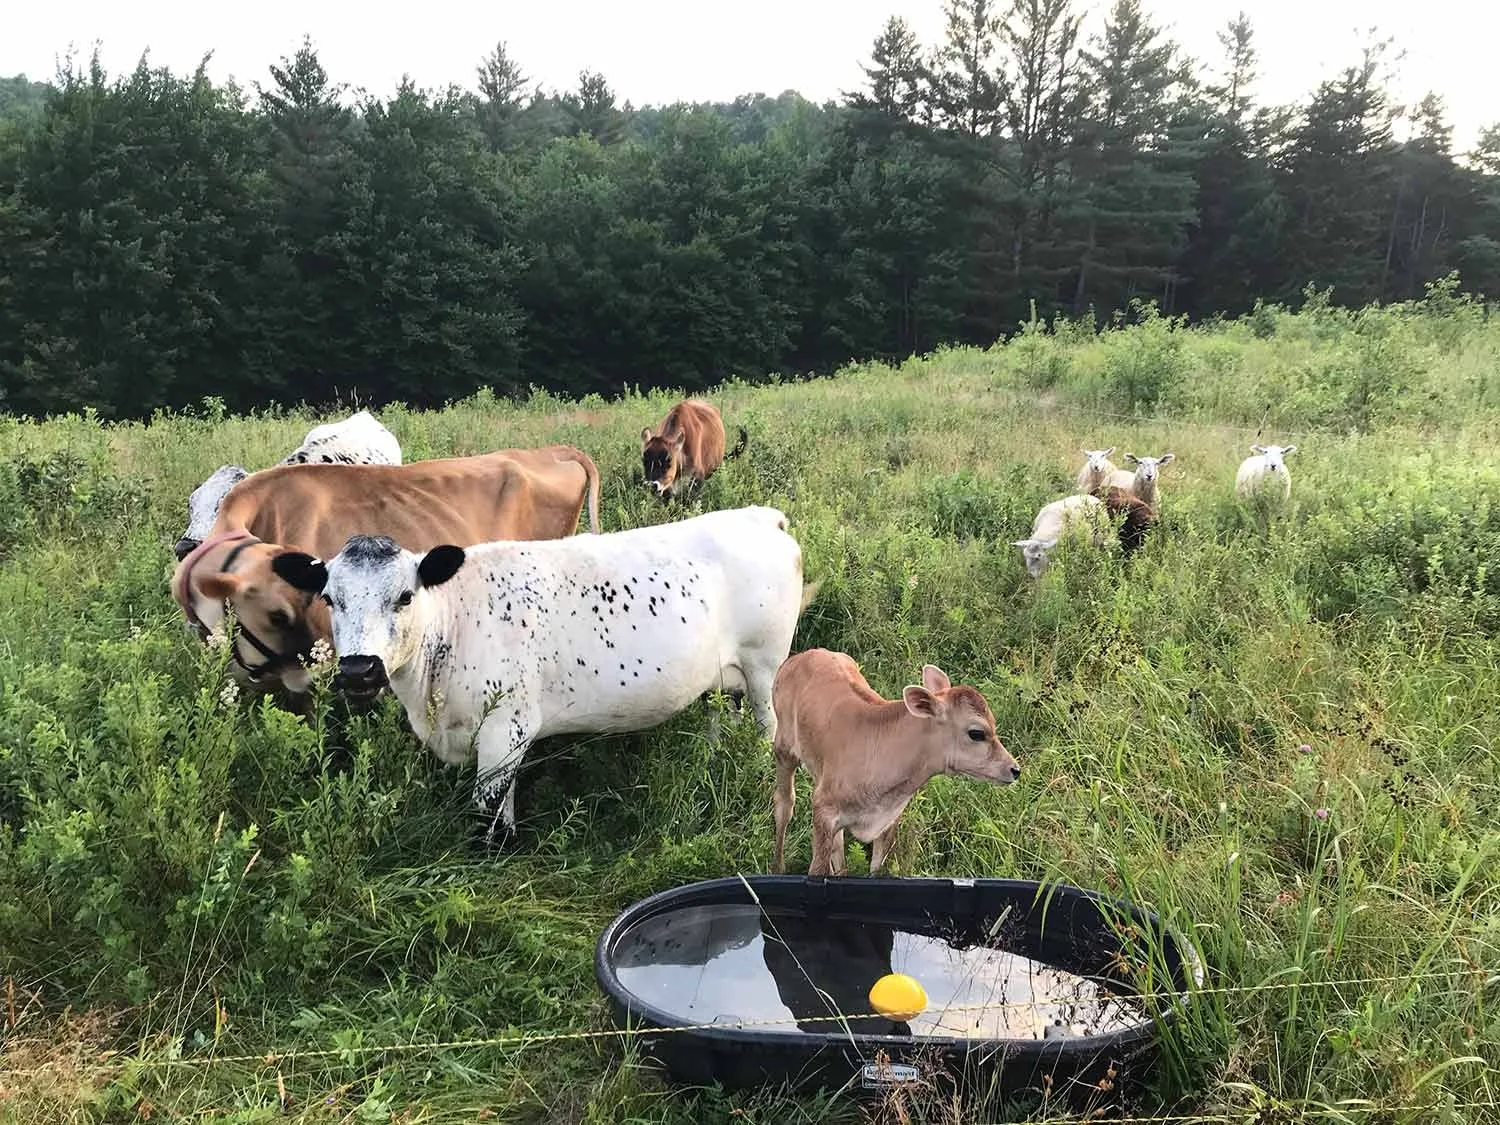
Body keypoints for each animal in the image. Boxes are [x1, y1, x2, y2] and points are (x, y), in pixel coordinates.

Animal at [269, 506, 816, 842]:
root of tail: (759, 516)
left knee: (766, 735)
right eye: (329, 598)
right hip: (723, 680)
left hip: (765, 668)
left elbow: (488, 815)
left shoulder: (506, 728)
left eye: (404, 596)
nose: (359, 670)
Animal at [770, 650, 1020, 876]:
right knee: (784, 804)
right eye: (977, 733)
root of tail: (802, 656)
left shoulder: (888, 820)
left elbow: (877, 869)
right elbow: (818, 869)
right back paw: (778, 867)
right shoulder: (824, 811)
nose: (1015, 769)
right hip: (783, 748)